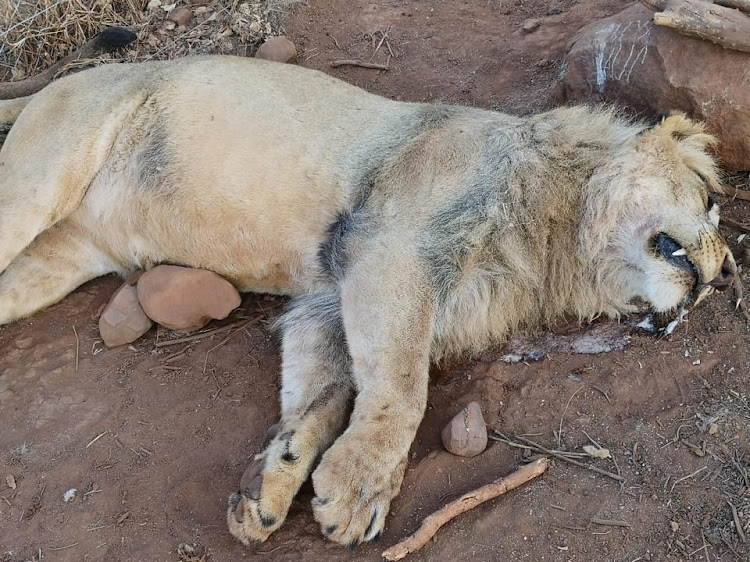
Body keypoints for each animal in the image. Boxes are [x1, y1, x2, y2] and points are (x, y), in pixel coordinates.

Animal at [0, 54, 740, 544]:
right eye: (708, 198)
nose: (728, 273)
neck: (555, 245)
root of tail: (61, 80)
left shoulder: (325, 301)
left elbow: (322, 398)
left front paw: (270, 486)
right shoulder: (387, 251)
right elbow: (402, 387)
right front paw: (360, 490)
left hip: (57, 261)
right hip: (41, 177)